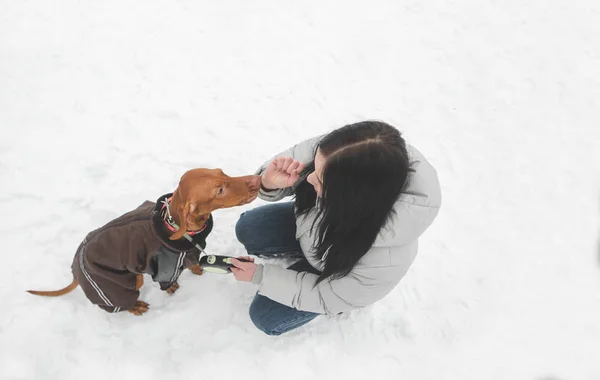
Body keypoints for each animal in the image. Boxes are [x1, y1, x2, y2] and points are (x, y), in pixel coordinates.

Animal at [27, 169, 260, 314]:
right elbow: (168, 282)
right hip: (120, 285)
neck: (173, 225)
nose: (257, 180)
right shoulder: (166, 269)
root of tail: (76, 270)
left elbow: (194, 263)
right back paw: (135, 307)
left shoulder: (190, 253)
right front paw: (173, 289)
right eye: (219, 190)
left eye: (221, 171)